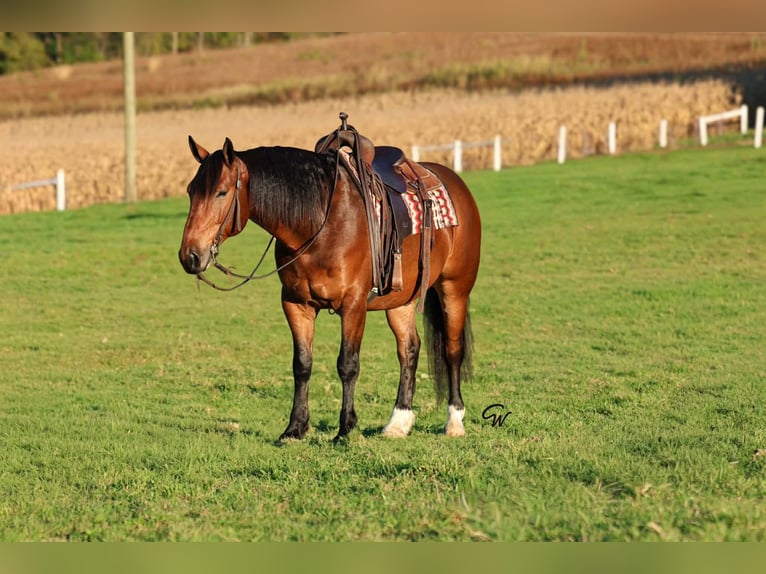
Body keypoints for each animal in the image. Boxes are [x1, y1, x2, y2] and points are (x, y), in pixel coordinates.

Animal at [178, 130, 481, 442]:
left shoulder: (353, 305)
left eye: (222, 192)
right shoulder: (296, 304)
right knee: (409, 349)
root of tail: (453, 179)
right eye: (190, 191)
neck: (318, 224)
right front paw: (295, 428)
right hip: (402, 300)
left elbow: (347, 365)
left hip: (454, 289)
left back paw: (454, 422)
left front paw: (345, 428)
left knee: (452, 350)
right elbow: (302, 364)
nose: (190, 256)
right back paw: (398, 423)